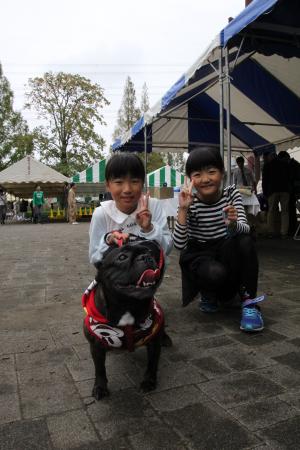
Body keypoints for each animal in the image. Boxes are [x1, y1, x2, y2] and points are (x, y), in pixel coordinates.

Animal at [83, 237, 165, 400]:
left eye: (149, 252)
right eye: (122, 257)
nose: (146, 257)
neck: (128, 303)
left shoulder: (154, 340)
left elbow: (152, 363)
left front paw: (149, 381)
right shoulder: (95, 346)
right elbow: (99, 369)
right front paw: (100, 387)